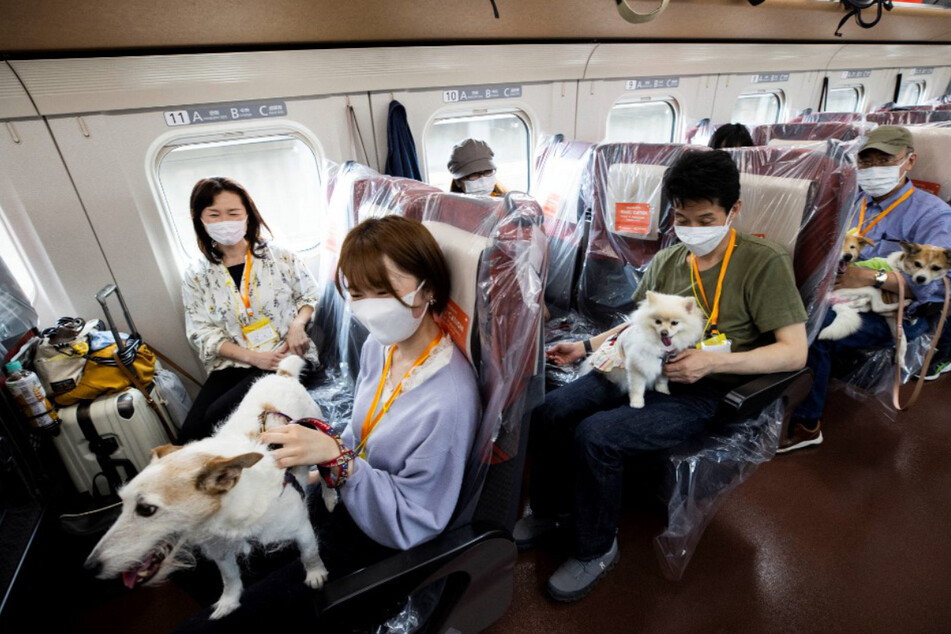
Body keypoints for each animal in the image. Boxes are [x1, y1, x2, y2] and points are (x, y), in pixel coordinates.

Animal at [84, 356, 338, 616]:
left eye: (146, 509)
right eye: (122, 503)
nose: (90, 568)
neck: (225, 518)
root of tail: (282, 374)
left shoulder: (300, 529)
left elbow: (309, 553)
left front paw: (316, 574)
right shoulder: (220, 551)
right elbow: (229, 578)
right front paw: (228, 603)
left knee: (326, 470)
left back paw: (329, 496)